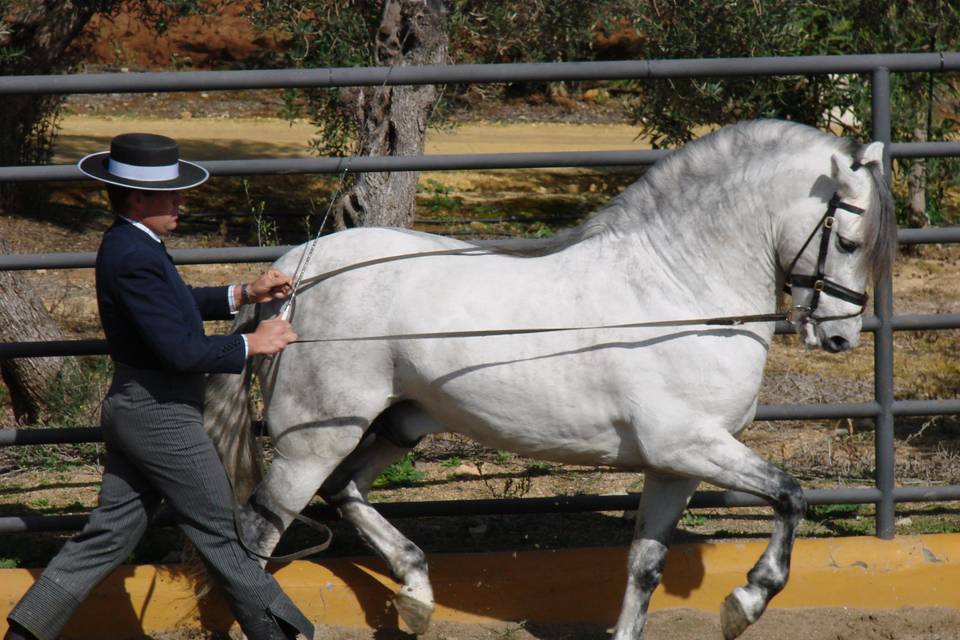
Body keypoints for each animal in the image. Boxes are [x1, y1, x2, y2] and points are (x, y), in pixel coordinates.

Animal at [206, 117, 896, 636]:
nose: (840, 337)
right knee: (260, 533)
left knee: (346, 489)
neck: (679, 290)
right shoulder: (690, 444)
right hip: (313, 439)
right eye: (850, 240)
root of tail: (293, 273)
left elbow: (645, 565)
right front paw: (745, 602)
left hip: (402, 421)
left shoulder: (672, 466)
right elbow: (790, 494)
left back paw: (418, 595)